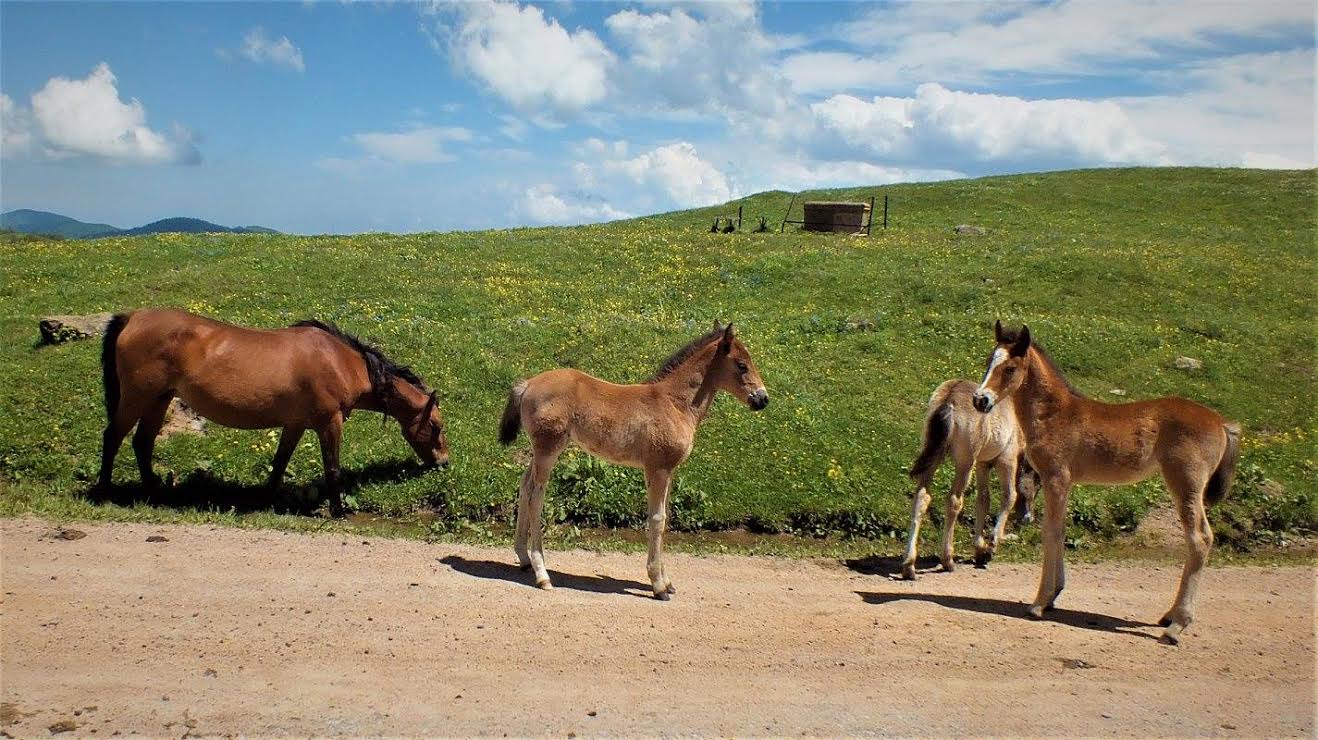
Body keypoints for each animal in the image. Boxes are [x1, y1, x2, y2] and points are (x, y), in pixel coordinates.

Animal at [495, 324, 769, 601]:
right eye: (742, 365)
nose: (762, 398)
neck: (674, 404)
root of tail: (528, 383)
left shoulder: (670, 471)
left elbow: (666, 518)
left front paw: (667, 581)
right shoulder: (657, 469)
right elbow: (657, 520)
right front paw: (658, 585)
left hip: (541, 451)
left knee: (525, 486)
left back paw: (524, 558)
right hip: (548, 449)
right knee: (536, 498)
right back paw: (542, 574)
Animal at [896, 377, 1038, 580]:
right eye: (1037, 481)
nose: (1029, 518)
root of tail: (949, 398)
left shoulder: (983, 464)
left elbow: (983, 500)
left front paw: (979, 549)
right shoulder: (1006, 460)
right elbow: (1009, 497)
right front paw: (990, 548)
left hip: (935, 458)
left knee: (922, 498)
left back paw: (909, 565)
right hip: (965, 463)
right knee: (954, 500)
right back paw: (947, 560)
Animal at [975, 320, 1238, 643]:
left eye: (1010, 368)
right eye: (989, 361)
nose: (980, 400)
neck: (1054, 414)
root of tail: (1222, 424)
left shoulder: (1055, 479)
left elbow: (1050, 532)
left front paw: (1038, 603)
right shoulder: (1066, 484)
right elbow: (1059, 532)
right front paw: (1054, 596)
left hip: (1186, 484)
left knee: (1200, 538)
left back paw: (1177, 625)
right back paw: (1168, 616)